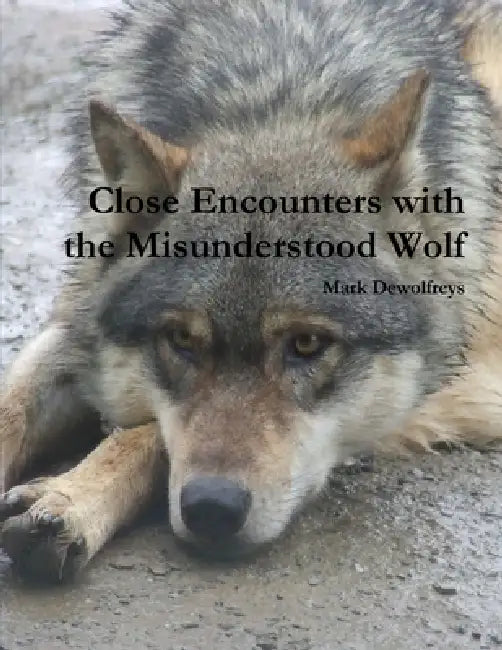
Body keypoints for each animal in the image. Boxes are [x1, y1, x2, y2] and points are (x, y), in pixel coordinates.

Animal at [1, 0, 502, 582]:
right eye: (181, 340)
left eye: (307, 344)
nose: (211, 509)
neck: (277, 89)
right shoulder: (76, 320)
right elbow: (13, 404)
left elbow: (149, 432)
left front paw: (69, 497)